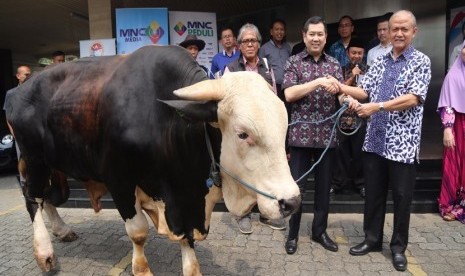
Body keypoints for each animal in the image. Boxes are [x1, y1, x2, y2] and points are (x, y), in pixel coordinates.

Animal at [7, 45, 300, 274]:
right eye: (242, 134)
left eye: (284, 127)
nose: (292, 202)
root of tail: (17, 90)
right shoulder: (120, 180)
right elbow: (138, 232)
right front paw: (141, 269)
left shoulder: (183, 197)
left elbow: (188, 244)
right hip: (33, 159)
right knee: (31, 197)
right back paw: (44, 253)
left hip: (53, 165)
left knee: (48, 197)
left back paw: (61, 230)